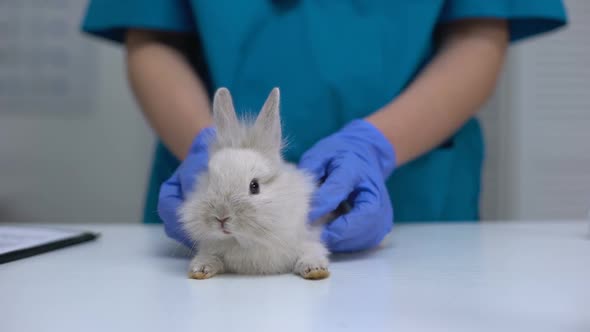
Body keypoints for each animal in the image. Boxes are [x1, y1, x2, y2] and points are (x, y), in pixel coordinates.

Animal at [178, 87, 330, 278]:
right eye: (210, 183)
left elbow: (311, 252)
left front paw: (315, 270)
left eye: (254, 186)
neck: (245, 241)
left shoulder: (308, 238)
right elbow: (210, 257)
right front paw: (200, 270)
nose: (221, 217)